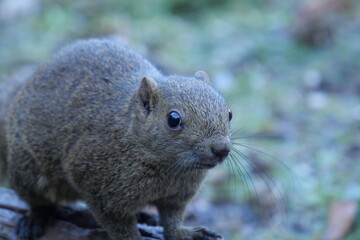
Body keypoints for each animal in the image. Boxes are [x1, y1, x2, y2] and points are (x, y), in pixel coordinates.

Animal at [1, 38, 232, 239]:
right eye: (173, 119)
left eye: (229, 113)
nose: (221, 149)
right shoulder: (95, 184)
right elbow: (118, 225)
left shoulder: (177, 195)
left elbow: (171, 220)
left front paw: (186, 233)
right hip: (28, 170)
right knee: (39, 201)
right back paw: (36, 217)